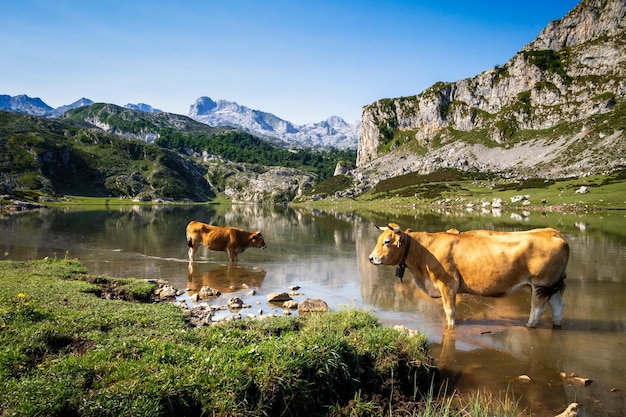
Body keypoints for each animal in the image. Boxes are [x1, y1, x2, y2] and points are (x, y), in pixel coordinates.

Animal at [368, 224, 568, 328]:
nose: (371, 258)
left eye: (387, 241)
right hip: (551, 286)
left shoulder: (448, 284)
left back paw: (529, 326)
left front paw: (450, 327)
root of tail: (552, 232)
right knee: (558, 305)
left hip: (540, 284)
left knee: (537, 310)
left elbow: (449, 311)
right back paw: (557, 324)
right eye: (379, 240)